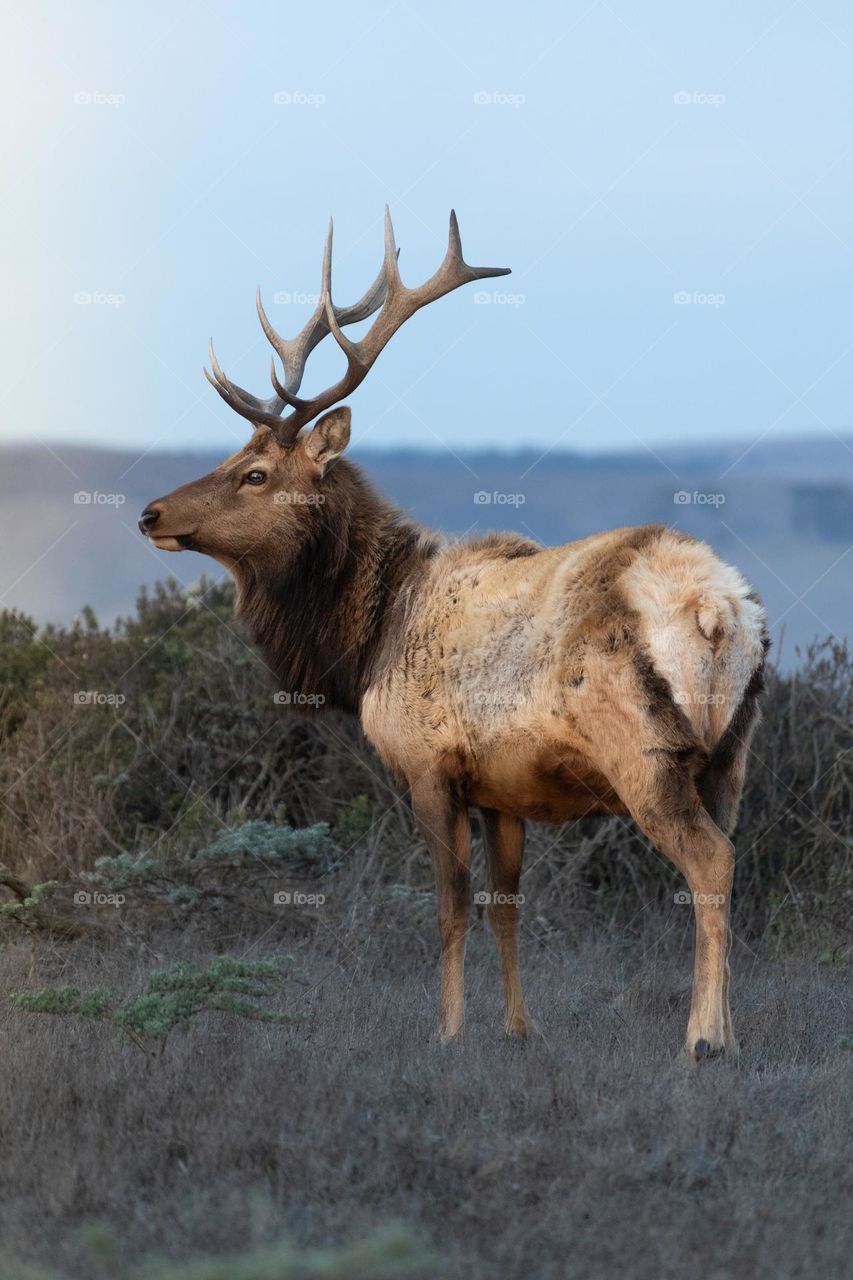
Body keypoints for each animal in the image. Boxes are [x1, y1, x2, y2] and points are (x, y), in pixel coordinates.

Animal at [137, 209, 763, 1054]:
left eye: (254, 474)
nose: (151, 513)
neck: (363, 644)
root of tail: (718, 609)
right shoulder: (503, 788)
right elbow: (505, 908)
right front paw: (518, 1028)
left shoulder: (428, 764)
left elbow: (449, 909)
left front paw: (447, 1032)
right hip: (730, 754)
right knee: (729, 857)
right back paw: (728, 1029)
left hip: (646, 752)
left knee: (707, 861)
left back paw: (703, 1038)